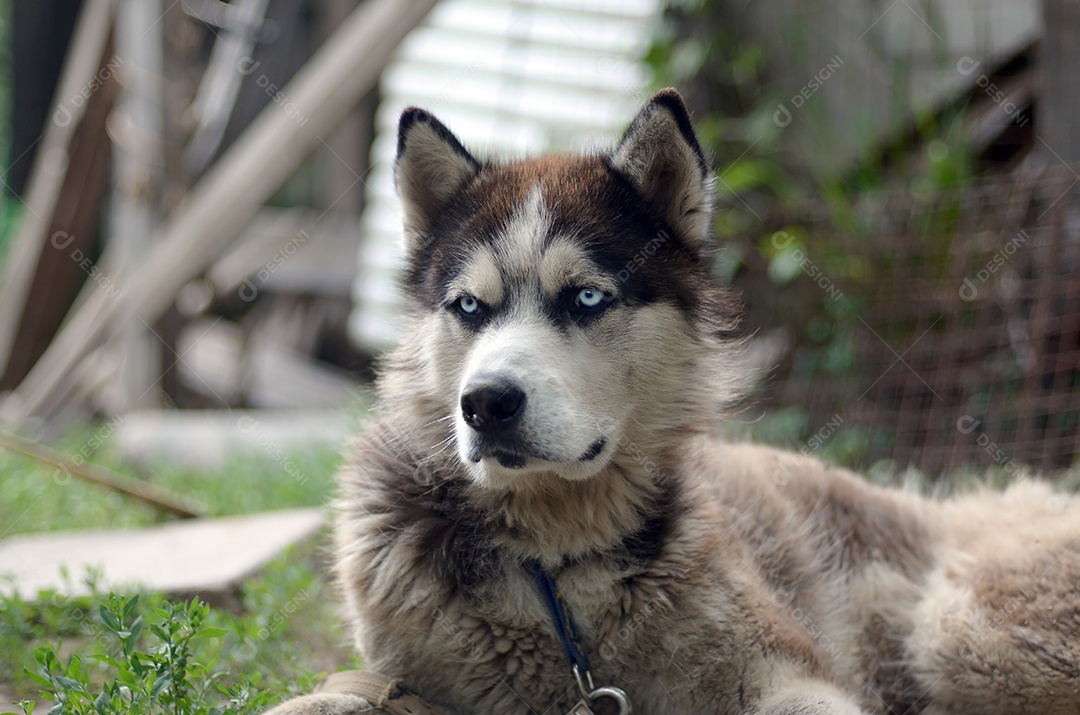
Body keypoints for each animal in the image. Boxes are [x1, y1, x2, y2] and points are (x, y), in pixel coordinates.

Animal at [326, 91, 1080, 715]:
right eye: (468, 307)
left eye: (587, 297)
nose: (485, 404)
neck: (557, 566)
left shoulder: (785, 676)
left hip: (967, 635)